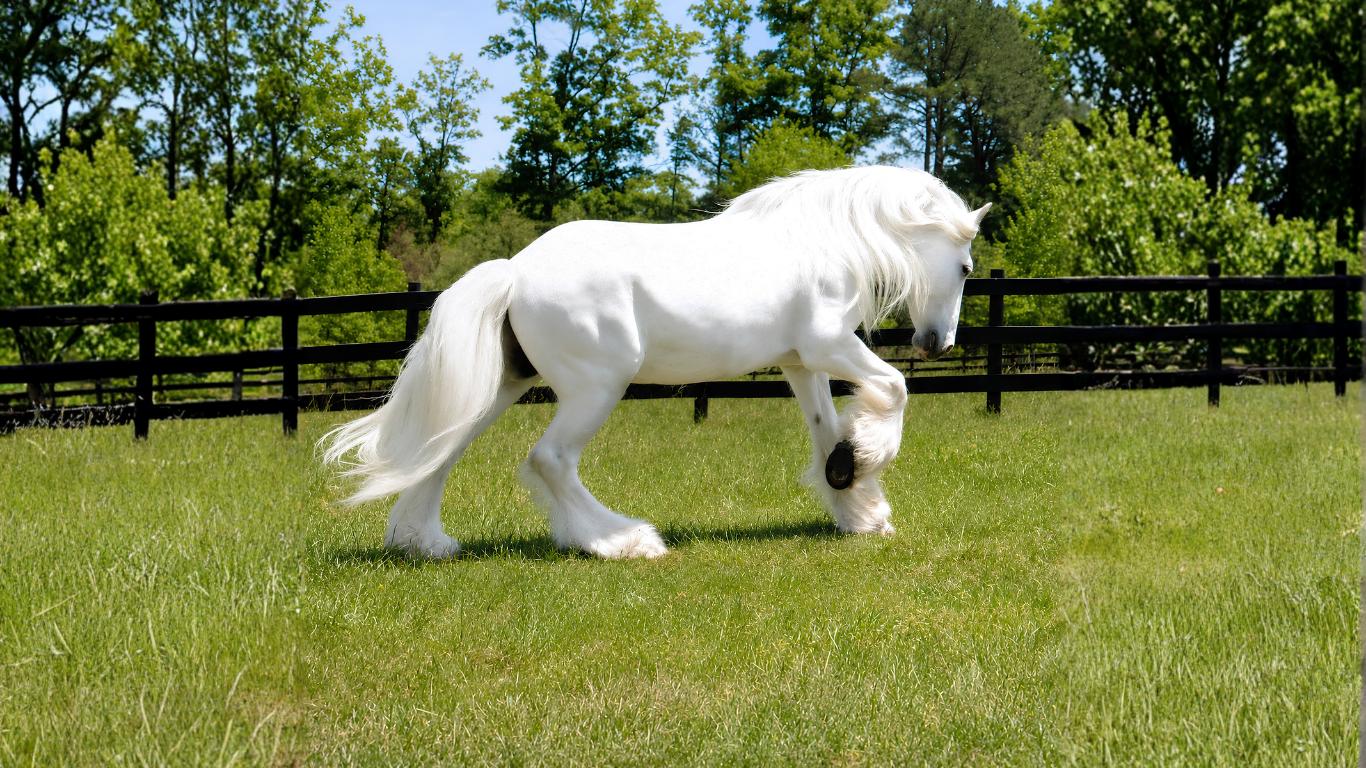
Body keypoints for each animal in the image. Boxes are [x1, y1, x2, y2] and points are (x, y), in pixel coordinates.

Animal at [322, 166, 990, 560]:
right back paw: (622, 540)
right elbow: (895, 388)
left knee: (442, 449)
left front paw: (857, 506)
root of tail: (514, 270)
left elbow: (827, 432)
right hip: (597, 387)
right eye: (965, 268)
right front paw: (866, 466)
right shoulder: (831, 346)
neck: (821, 244)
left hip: (506, 384)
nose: (939, 343)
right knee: (549, 460)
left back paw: (423, 542)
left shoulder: (802, 363)